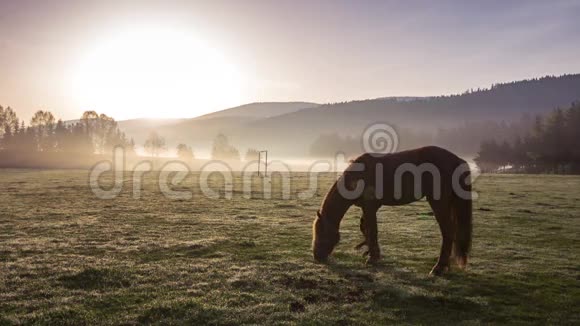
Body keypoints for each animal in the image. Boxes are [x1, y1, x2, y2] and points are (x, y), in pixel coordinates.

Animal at [312, 146, 472, 276]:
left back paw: (438, 268)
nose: (316, 256)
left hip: (439, 204)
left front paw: (372, 258)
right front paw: (370, 252)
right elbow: (365, 228)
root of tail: (457, 160)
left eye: (321, 232)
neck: (359, 176)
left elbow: (372, 230)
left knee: (448, 232)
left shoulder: (370, 207)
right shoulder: (367, 208)